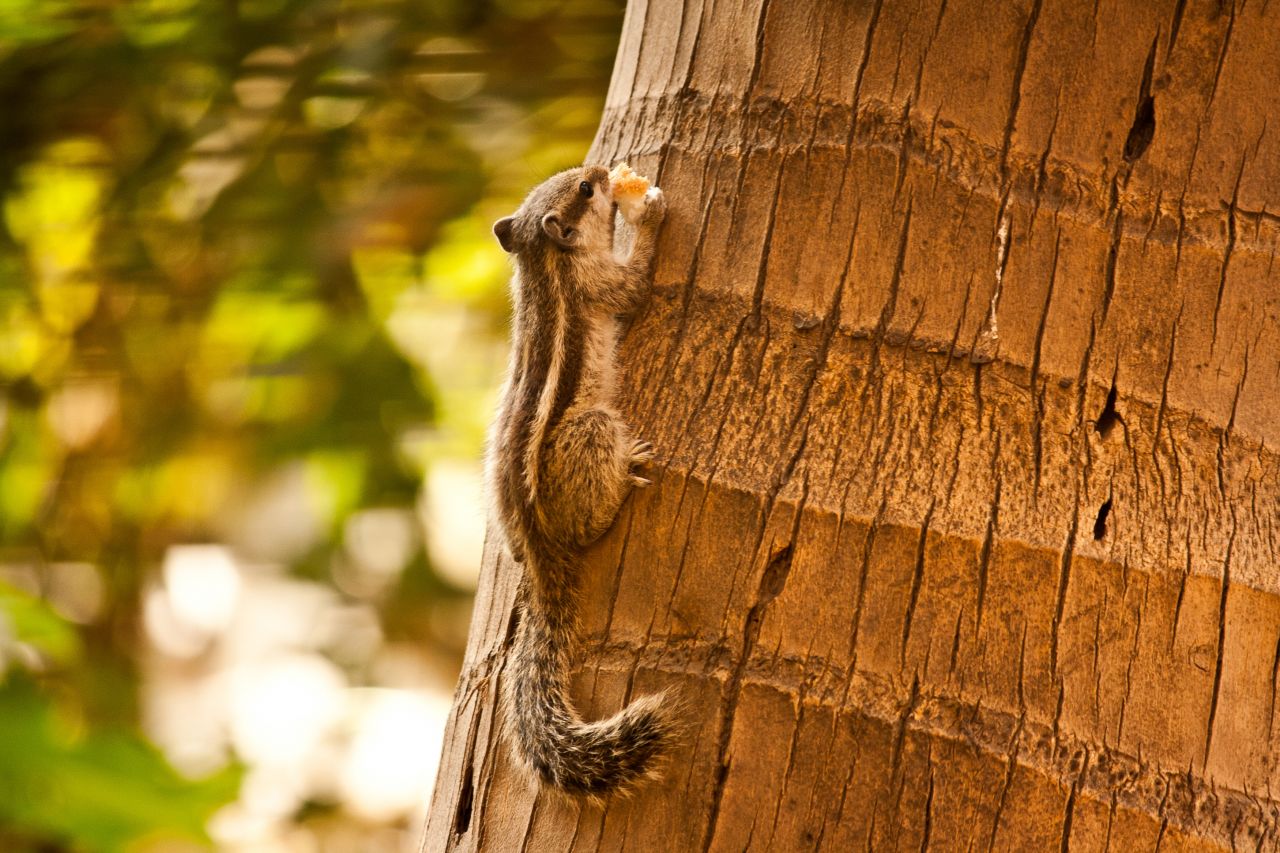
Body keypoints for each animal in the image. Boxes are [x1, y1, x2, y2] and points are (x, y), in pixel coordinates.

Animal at [483, 166, 675, 799]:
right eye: (586, 193)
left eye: (574, 181)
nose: (597, 171)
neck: (545, 263)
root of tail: (542, 551)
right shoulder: (601, 283)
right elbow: (635, 286)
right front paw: (647, 214)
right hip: (592, 428)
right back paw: (626, 475)